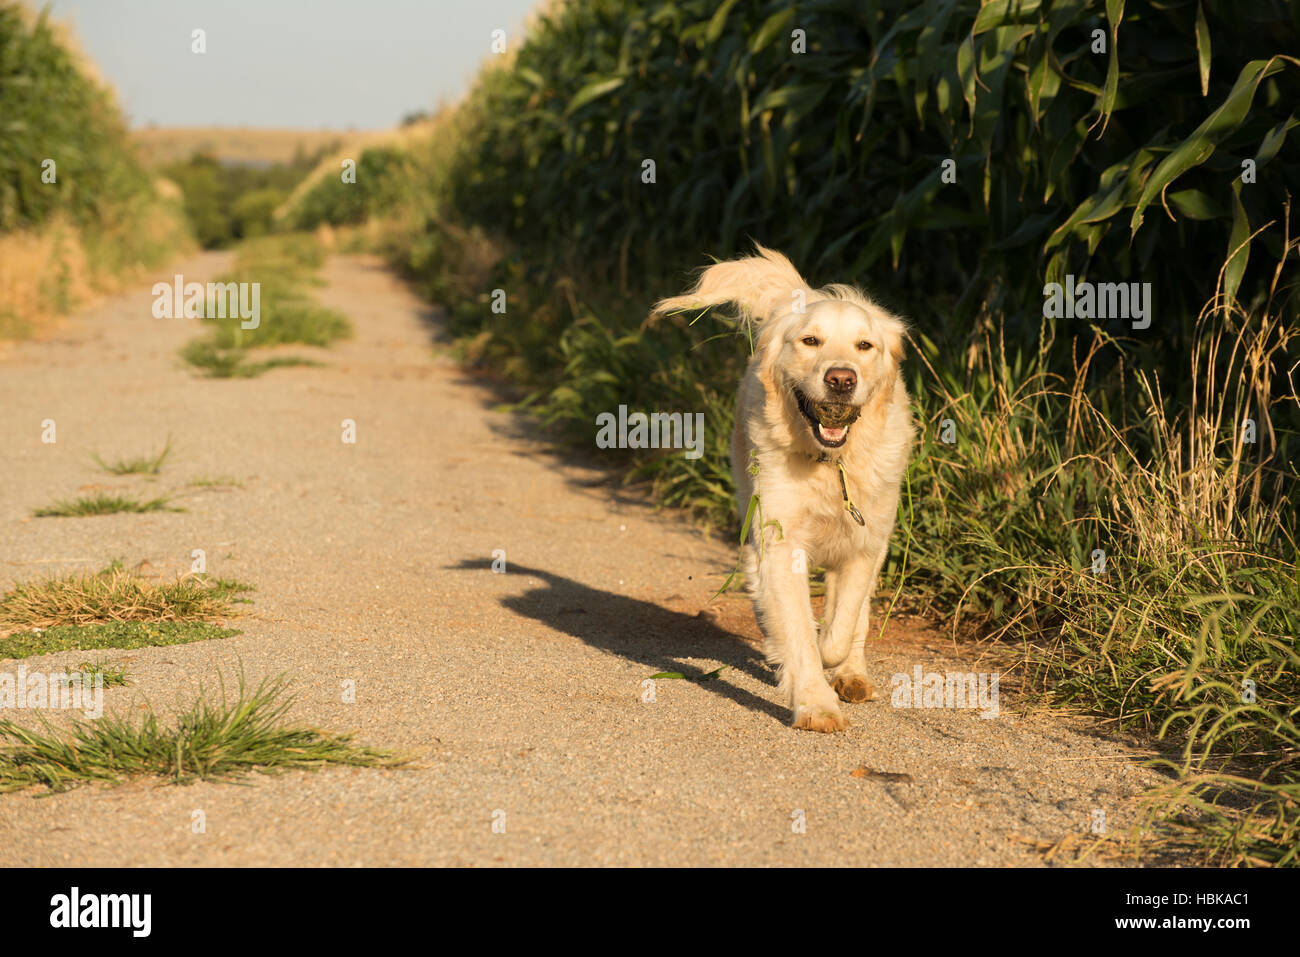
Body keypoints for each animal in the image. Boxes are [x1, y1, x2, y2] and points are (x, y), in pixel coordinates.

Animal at [650, 244, 915, 733]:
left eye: (864, 346)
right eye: (810, 341)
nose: (841, 379)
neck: (830, 464)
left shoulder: (866, 542)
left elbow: (844, 623)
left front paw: (835, 663)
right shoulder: (781, 538)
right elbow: (799, 631)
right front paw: (815, 704)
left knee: (859, 616)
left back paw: (852, 674)